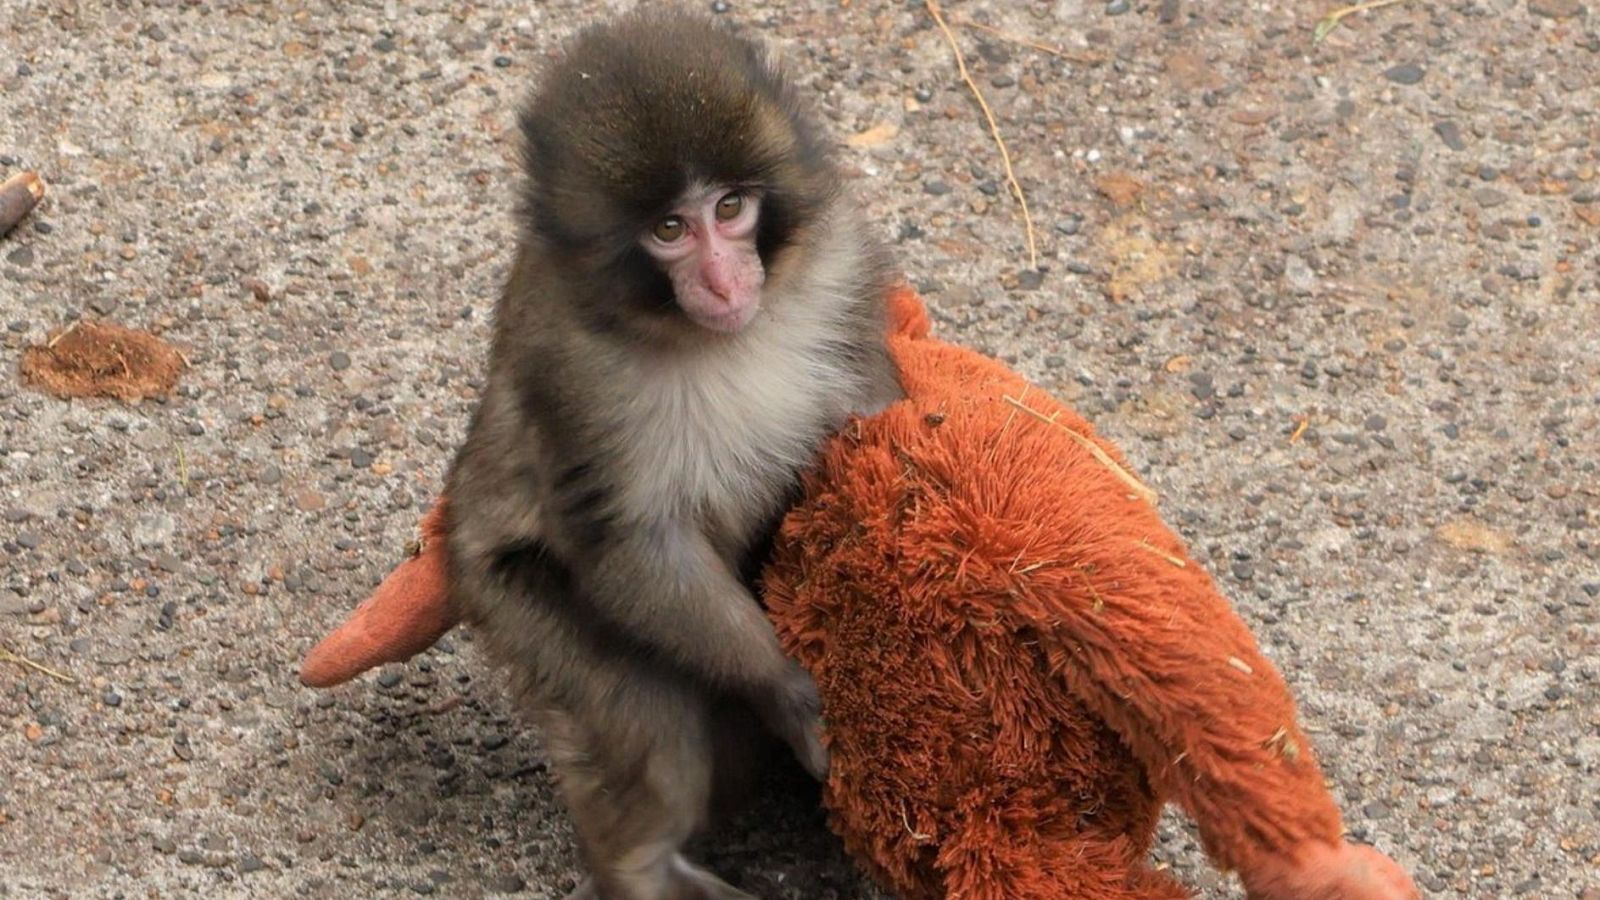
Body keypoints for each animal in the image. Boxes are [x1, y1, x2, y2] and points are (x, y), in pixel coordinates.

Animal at [442, 8, 903, 899]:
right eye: (669, 230)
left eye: (730, 208)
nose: (725, 283)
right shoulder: (572, 372)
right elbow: (630, 542)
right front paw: (786, 690)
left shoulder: (841, 267)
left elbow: (874, 405)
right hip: (510, 600)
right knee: (649, 711)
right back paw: (641, 865)